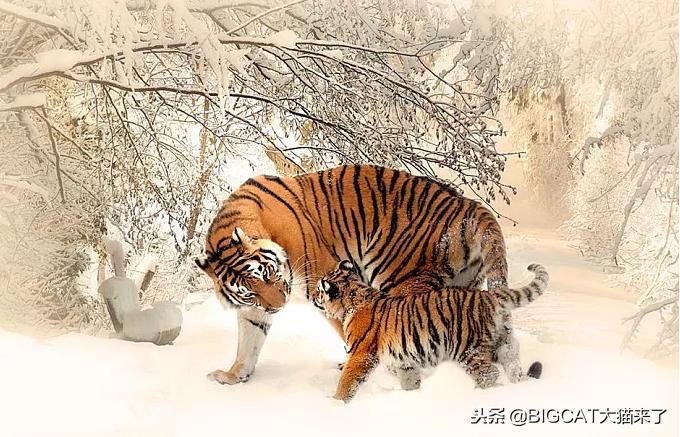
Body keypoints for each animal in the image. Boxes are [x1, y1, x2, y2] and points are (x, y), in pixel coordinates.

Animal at [195, 164, 513, 385]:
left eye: (268, 274)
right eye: (250, 291)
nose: (278, 306)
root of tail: (469, 205)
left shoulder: (324, 281)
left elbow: (349, 329)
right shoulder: (254, 309)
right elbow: (248, 341)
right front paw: (233, 376)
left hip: (401, 280)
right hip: (464, 286)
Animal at [312, 260, 549, 403]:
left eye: (318, 290)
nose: (313, 296)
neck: (352, 298)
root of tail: (489, 296)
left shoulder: (360, 354)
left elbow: (347, 381)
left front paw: (335, 403)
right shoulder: (404, 360)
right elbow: (409, 379)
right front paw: (412, 396)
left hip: (468, 349)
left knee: (489, 374)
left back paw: (479, 394)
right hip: (503, 343)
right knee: (513, 364)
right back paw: (517, 386)